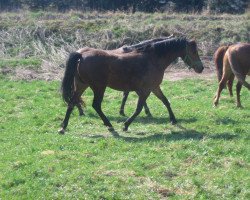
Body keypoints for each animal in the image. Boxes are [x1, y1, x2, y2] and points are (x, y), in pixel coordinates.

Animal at [59, 38, 204, 134]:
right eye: (194, 52)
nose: (201, 68)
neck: (153, 59)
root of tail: (81, 55)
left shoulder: (154, 87)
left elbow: (165, 101)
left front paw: (173, 120)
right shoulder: (145, 90)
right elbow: (139, 108)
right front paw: (126, 125)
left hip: (82, 85)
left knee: (72, 102)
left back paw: (63, 127)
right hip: (98, 87)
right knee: (96, 105)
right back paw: (109, 125)